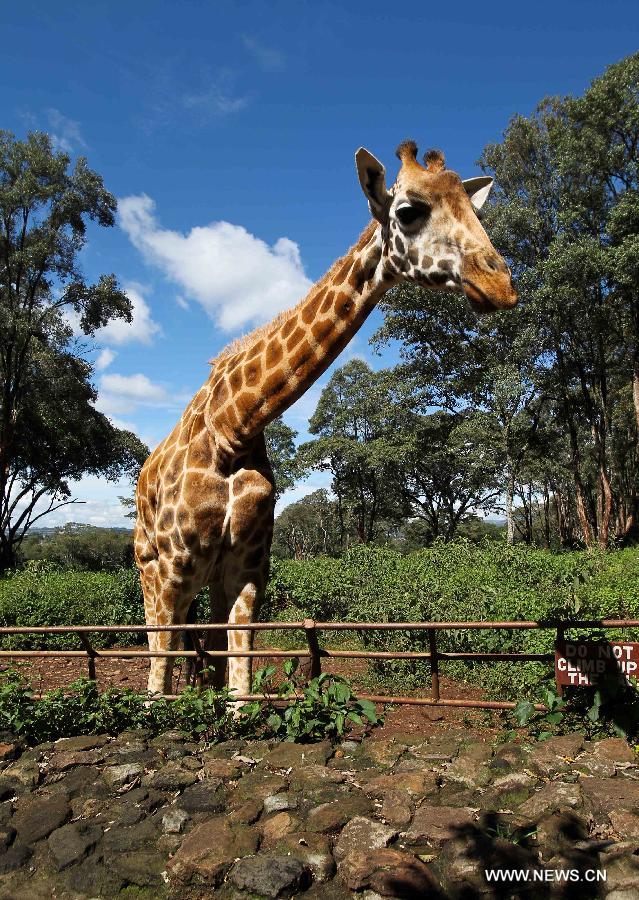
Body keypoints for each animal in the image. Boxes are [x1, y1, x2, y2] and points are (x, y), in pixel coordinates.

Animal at [134, 139, 516, 696]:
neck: (232, 427)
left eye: (475, 210)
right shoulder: (174, 568)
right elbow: (156, 689)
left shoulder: (247, 568)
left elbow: (239, 686)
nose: (500, 283)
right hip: (149, 568)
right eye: (408, 211)